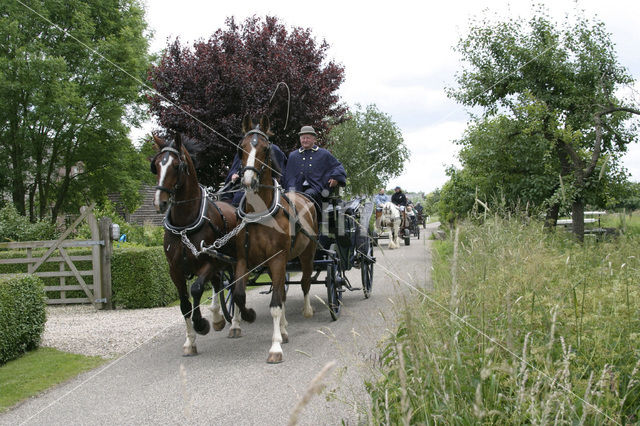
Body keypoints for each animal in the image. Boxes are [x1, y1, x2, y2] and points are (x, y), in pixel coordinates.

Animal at [151, 133, 239, 356]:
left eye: (176, 166)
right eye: (156, 165)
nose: (160, 202)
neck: (185, 225)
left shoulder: (207, 262)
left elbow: (197, 289)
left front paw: (202, 324)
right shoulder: (174, 270)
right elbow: (184, 304)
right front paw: (190, 342)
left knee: (235, 285)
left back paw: (234, 324)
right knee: (219, 283)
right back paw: (218, 318)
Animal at [231, 115, 318, 362]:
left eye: (265, 148)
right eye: (241, 147)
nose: (248, 180)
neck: (261, 214)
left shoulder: (278, 258)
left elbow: (276, 305)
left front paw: (276, 346)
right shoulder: (244, 259)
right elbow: (239, 295)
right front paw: (247, 316)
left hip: (307, 254)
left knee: (305, 282)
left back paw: (306, 310)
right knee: (282, 291)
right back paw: (285, 328)